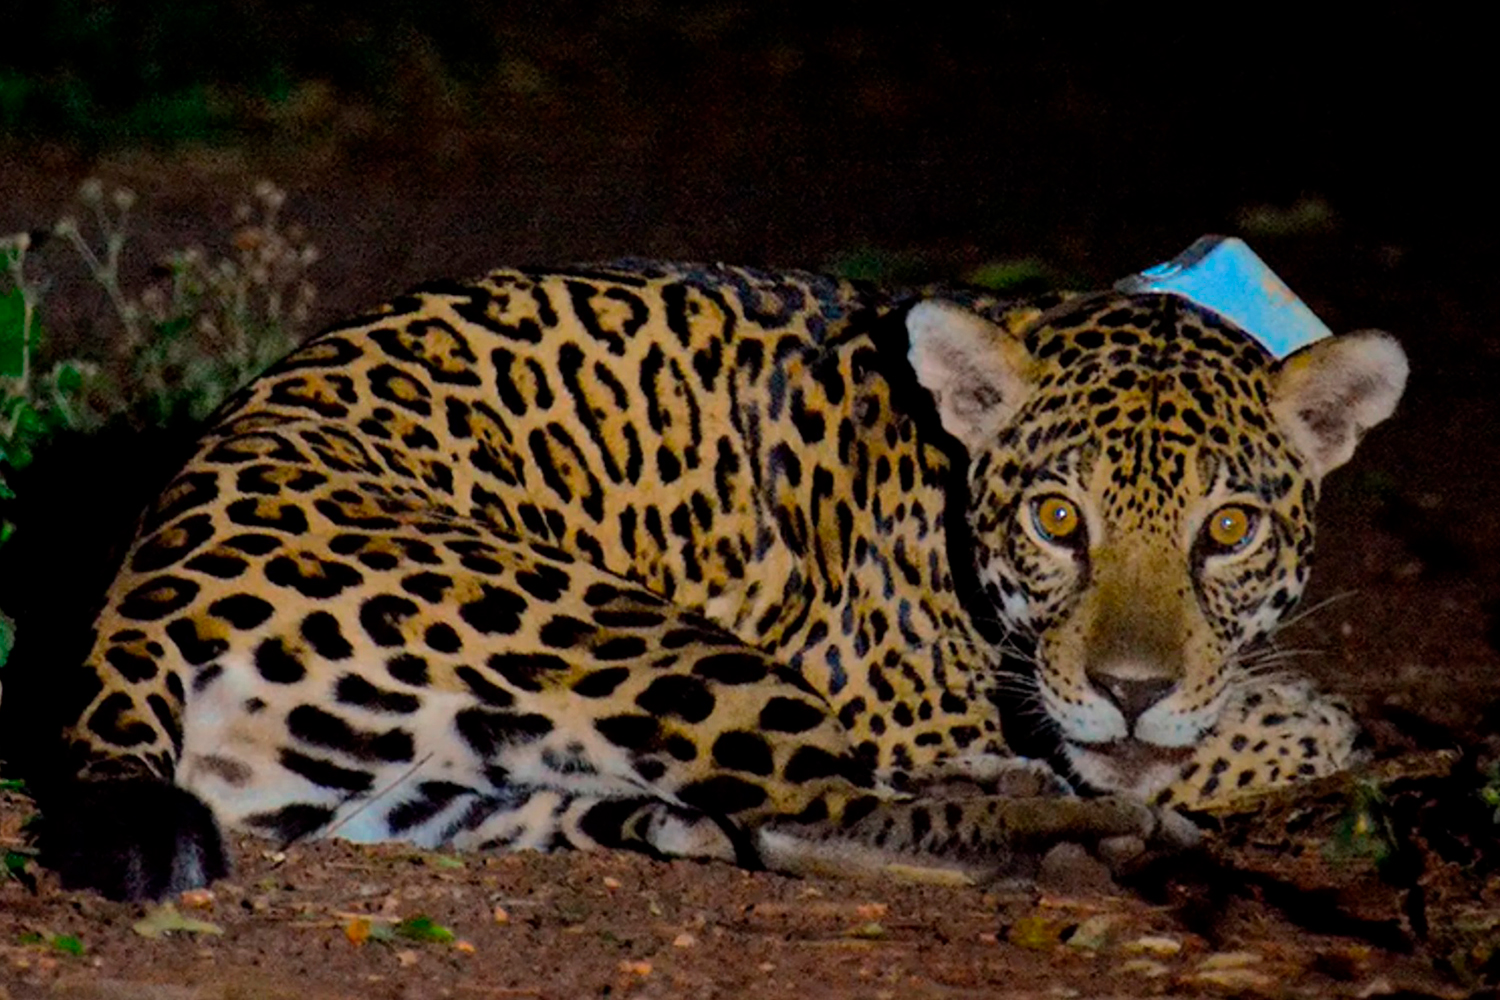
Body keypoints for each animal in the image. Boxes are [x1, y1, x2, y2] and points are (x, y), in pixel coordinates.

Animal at [35, 260, 1407, 900]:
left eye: (1228, 529)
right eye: (1057, 519)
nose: (1131, 686)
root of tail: (133, 595)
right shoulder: (899, 694)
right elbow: (1241, 732)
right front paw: (1261, 728)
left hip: (428, 789)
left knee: (711, 819)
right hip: (636, 633)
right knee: (822, 811)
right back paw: (1103, 833)